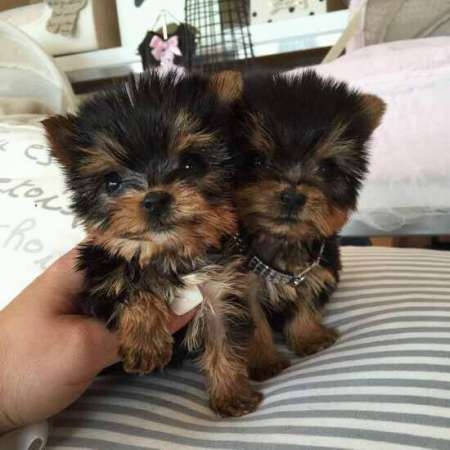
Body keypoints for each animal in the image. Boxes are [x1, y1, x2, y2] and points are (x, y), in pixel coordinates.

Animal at [42, 70, 262, 418]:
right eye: (112, 181)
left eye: (190, 164)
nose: (155, 199)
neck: (169, 253)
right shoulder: (98, 281)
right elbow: (131, 286)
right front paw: (146, 342)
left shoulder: (220, 290)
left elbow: (225, 339)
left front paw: (231, 394)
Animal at [234, 71, 384, 380]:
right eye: (257, 160)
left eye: (326, 169)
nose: (293, 196)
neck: (283, 240)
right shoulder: (241, 284)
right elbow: (252, 321)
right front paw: (263, 361)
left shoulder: (318, 266)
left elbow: (307, 298)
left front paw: (309, 337)